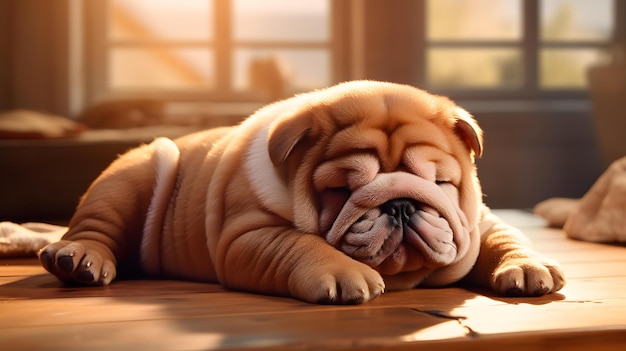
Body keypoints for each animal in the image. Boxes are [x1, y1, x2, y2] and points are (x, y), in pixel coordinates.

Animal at [40, 81, 564, 304]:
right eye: (339, 190)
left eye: (440, 184)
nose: (400, 204)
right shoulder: (248, 235)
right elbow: (299, 244)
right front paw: (341, 274)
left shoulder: (475, 223)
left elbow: (504, 237)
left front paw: (527, 267)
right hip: (132, 177)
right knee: (95, 227)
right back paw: (78, 259)